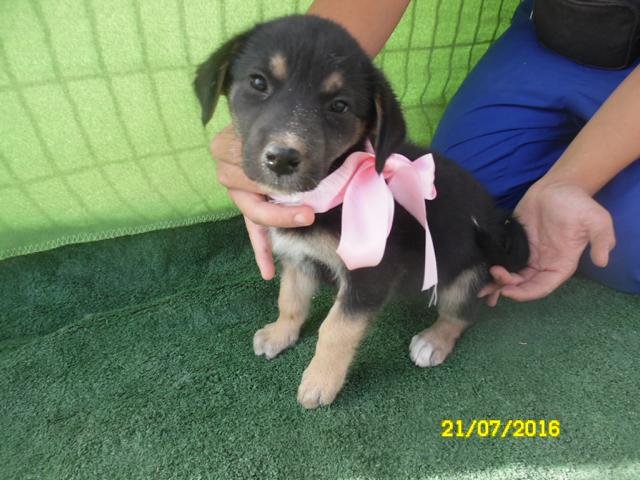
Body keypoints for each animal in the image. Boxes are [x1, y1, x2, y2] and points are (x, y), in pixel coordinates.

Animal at [194, 15, 529, 409]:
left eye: (339, 106)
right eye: (258, 82)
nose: (282, 159)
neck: (331, 190)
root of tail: (499, 227)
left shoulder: (369, 276)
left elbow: (336, 328)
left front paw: (320, 382)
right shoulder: (298, 258)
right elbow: (290, 299)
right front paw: (280, 334)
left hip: (465, 275)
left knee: (462, 313)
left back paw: (433, 340)